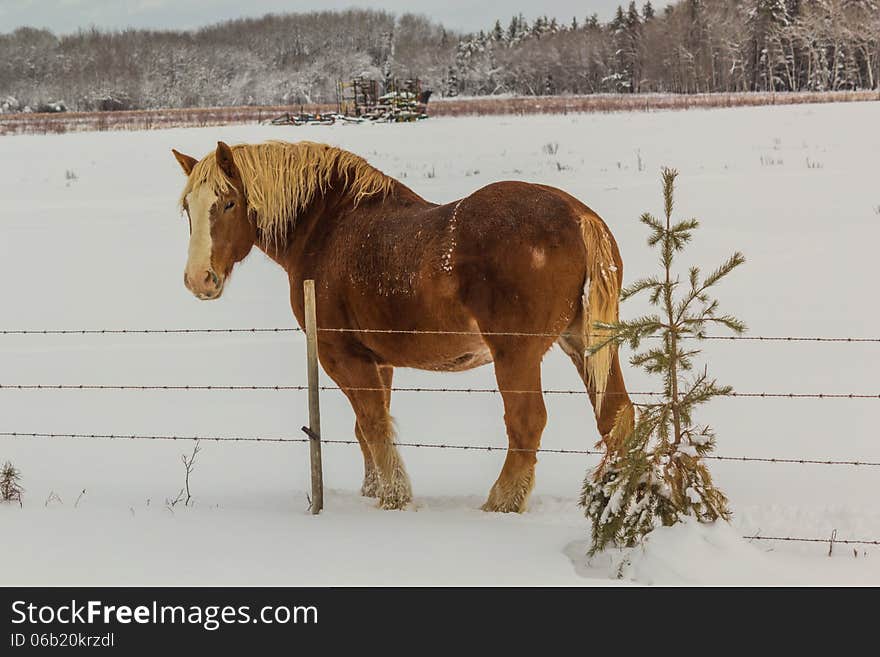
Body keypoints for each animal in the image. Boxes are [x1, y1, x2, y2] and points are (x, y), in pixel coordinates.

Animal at [172, 141, 636, 512]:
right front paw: (374, 490)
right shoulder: (379, 361)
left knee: (527, 422)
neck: (328, 228)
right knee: (616, 416)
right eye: (187, 208)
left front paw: (394, 498)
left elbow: (374, 424)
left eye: (228, 203)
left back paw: (501, 503)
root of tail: (578, 216)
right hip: (585, 345)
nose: (198, 280)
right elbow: (367, 428)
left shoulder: (340, 356)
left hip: (515, 355)